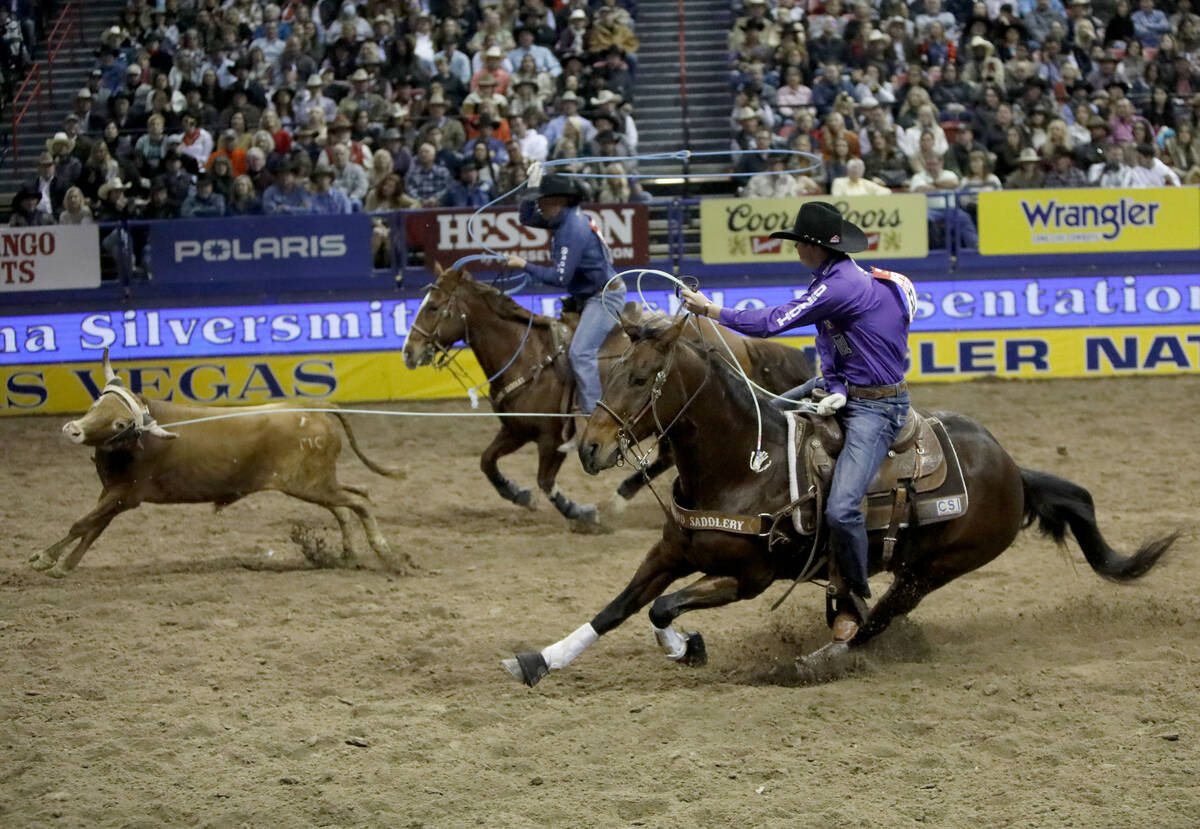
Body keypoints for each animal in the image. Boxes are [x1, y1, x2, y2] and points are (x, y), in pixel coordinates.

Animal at [403, 266, 816, 532]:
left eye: (434, 307)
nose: (409, 352)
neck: (529, 356)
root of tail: (739, 340)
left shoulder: (551, 439)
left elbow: (545, 480)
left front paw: (579, 512)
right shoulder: (516, 430)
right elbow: (487, 463)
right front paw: (516, 494)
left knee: (666, 457)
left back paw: (619, 497)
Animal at [499, 316, 1180, 686]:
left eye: (642, 379)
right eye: (610, 372)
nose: (590, 448)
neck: (744, 464)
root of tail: (1015, 471)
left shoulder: (748, 578)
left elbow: (663, 609)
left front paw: (687, 647)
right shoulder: (671, 550)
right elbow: (617, 609)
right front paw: (538, 660)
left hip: (932, 568)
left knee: (877, 619)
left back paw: (811, 661)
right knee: (861, 609)